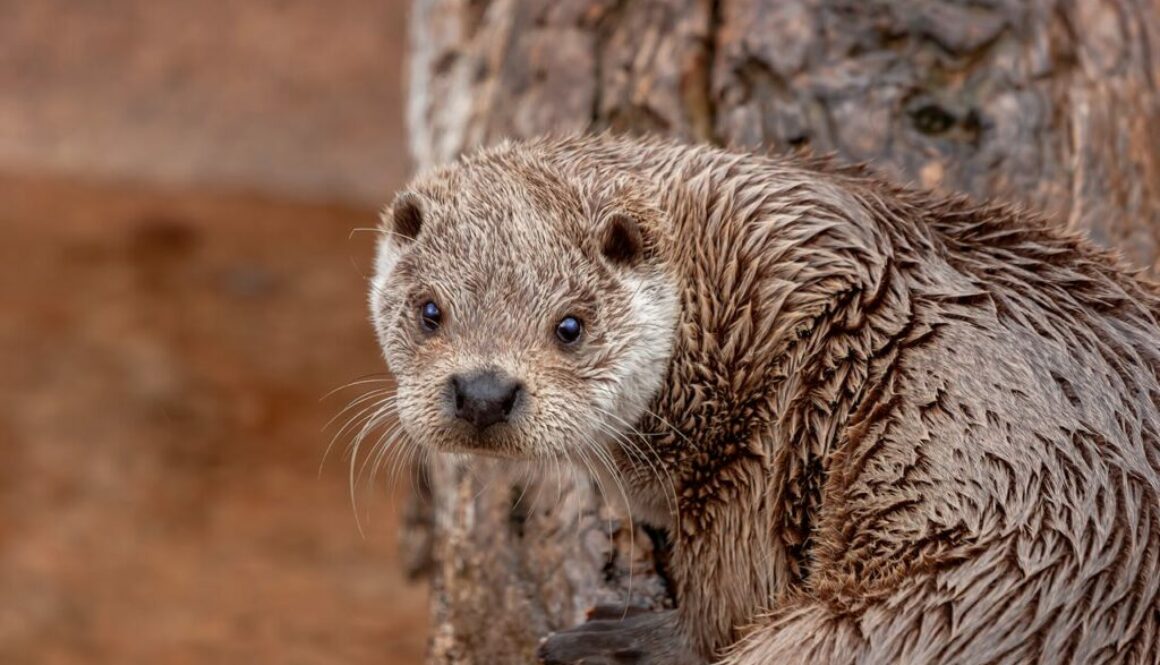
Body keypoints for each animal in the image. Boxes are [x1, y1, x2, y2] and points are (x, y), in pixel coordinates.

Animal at [368, 132, 1160, 659]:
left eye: (570, 325)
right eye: (429, 309)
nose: (483, 391)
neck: (740, 299)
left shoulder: (760, 440)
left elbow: (731, 600)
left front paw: (627, 640)